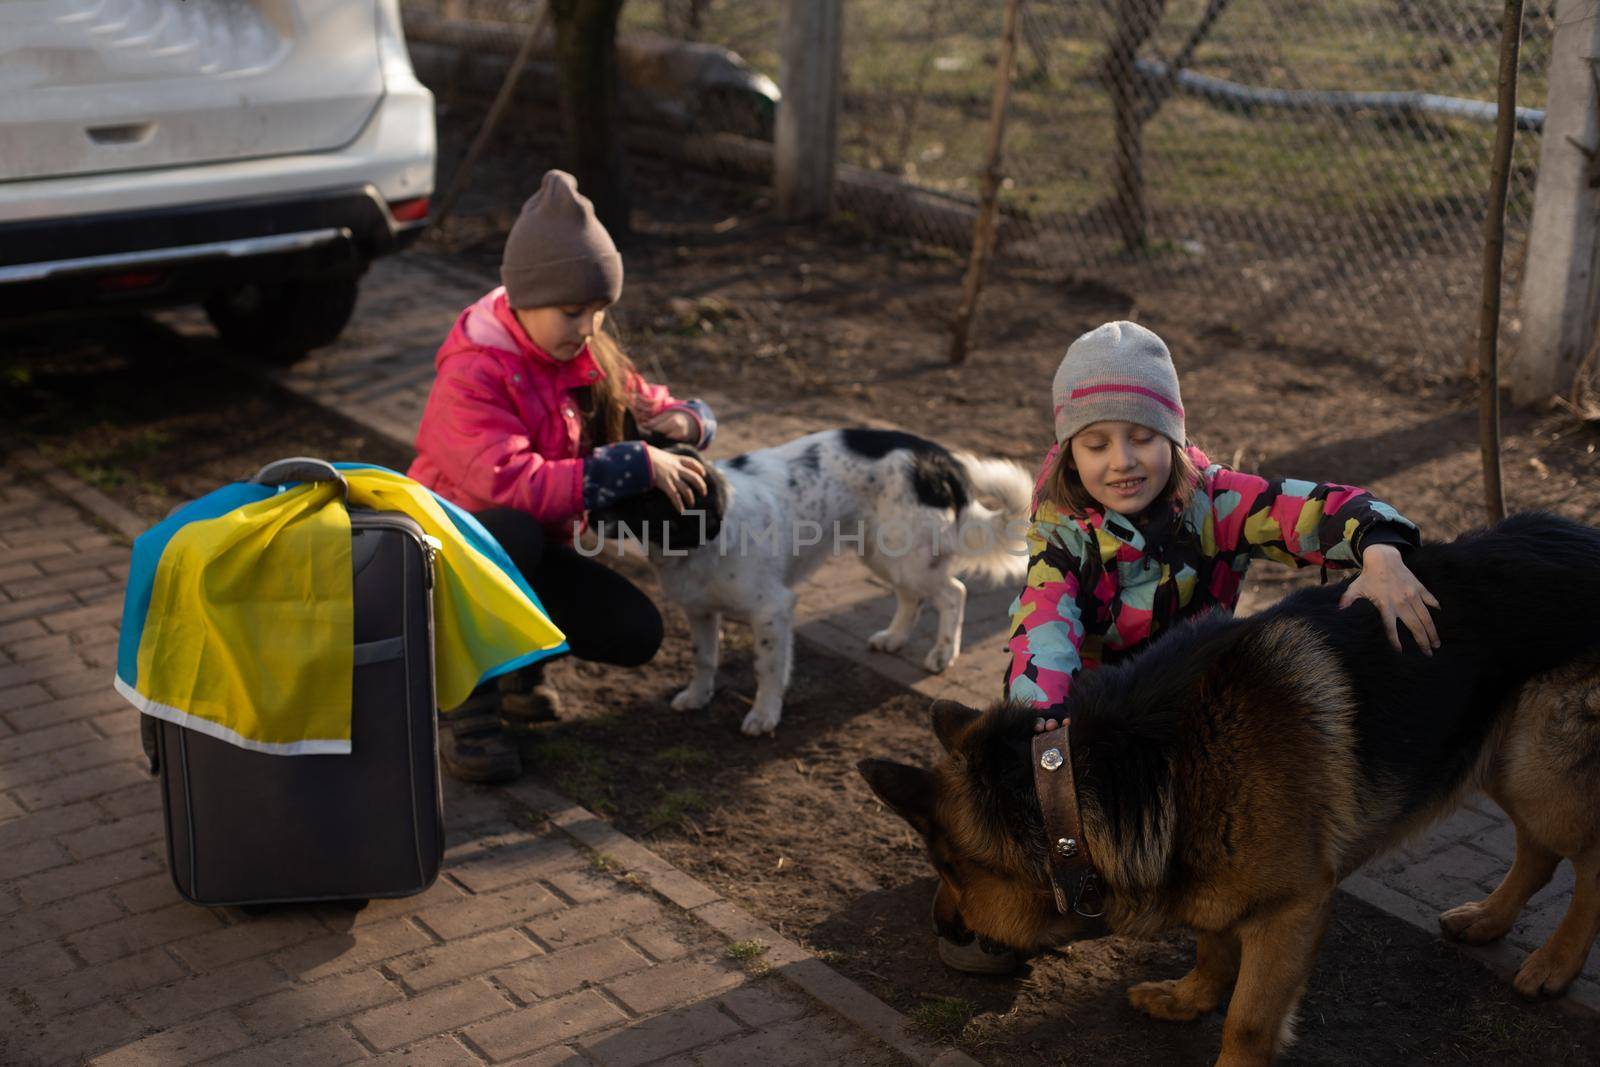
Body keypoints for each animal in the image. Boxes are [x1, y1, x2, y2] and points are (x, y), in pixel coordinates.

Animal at [585, 428, 1024, 739]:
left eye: (641, 493)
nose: (587, 513)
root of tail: (938, 458)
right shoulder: (700, 611)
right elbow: (704, 658)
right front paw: (697, 696)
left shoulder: (772, 609)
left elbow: (768, 668)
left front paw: (764, 715)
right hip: (882, 552)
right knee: (912, 597)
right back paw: (894, 638)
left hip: (907, 558)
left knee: (953, 593)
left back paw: (942, 654)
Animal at [864, 511, 1600, 1062]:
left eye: (949, 869)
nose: (942, 926)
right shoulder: (1214, 882)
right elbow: (1213, 942)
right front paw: (1191, 996)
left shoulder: (1292, 913)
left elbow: (1246, 1022)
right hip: (1508, 759)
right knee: (1538, 851)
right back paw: (1489, 919)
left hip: (1537, 767)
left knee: (1586, 858)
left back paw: (1556, 962)